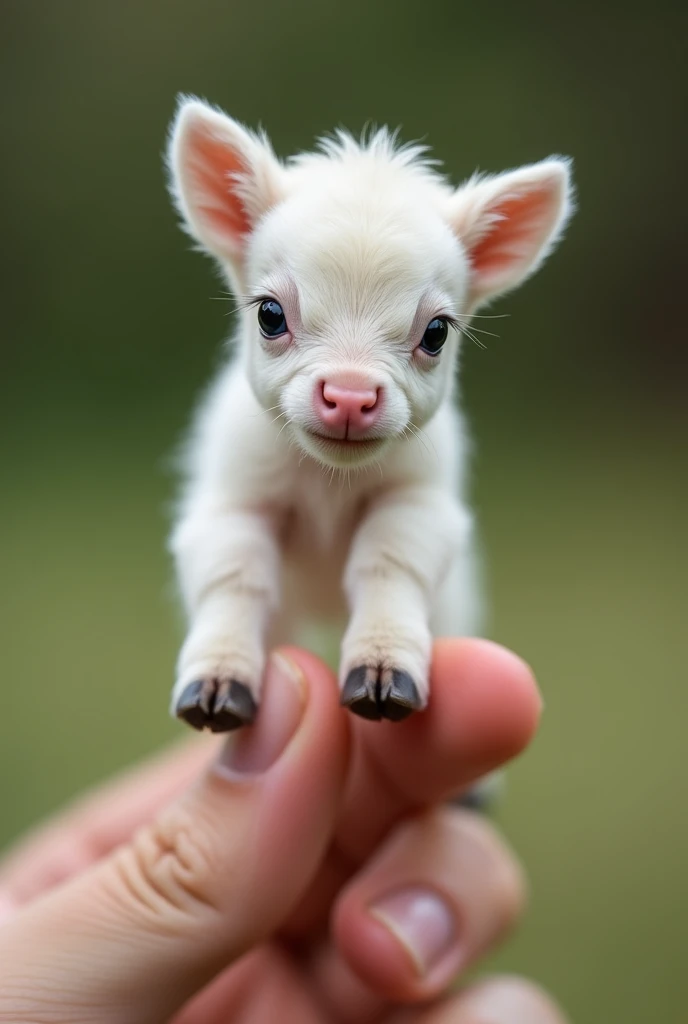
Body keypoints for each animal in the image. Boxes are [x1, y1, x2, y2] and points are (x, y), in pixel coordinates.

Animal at [164, 97, 569, 729]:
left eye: (436, 332)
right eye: (270, 315)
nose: (350, 396)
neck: (330, 481)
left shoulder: (421, 500)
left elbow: (389, 561)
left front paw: (383, 668)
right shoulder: (232, 498)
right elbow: (235, 576)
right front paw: (217, 678)